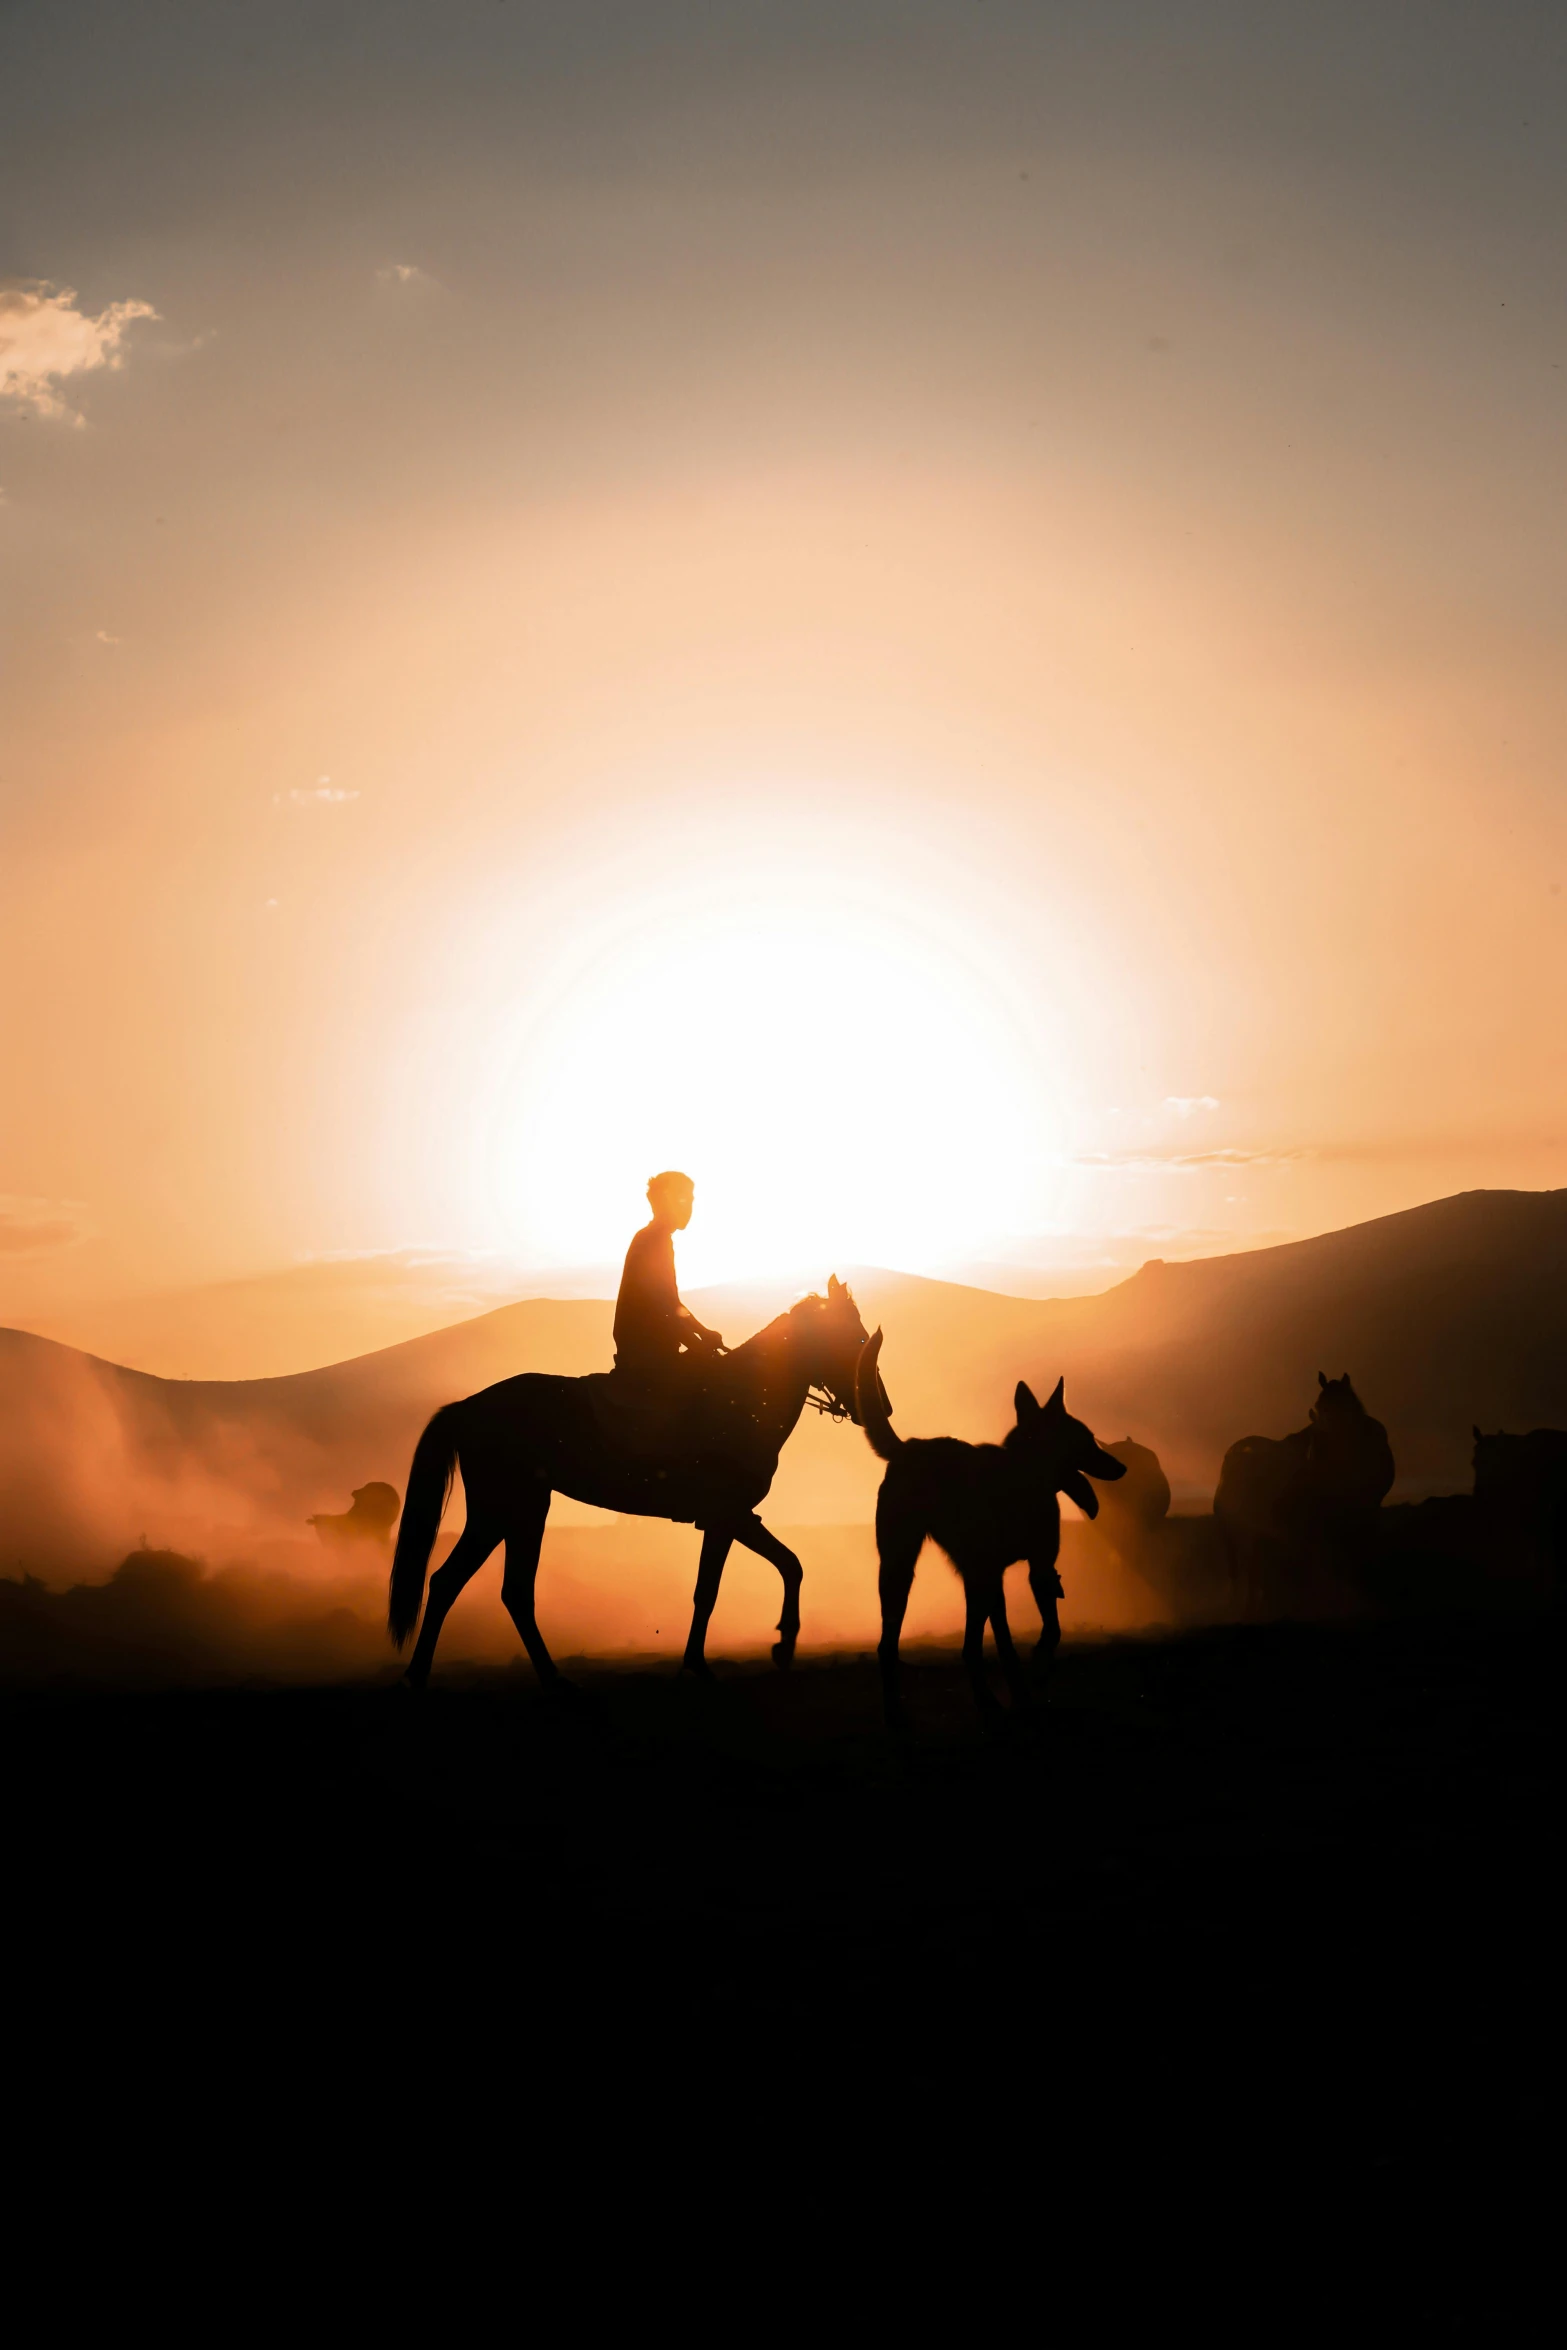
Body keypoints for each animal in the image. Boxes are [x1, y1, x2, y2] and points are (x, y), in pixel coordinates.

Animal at [389, 1287, 883, 1691]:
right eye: (858, 1340)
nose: (881, 1408)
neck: (743, 1398)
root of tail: (467, 1406)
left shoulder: (738, 1516)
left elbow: (787, 1565)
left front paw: (778, 1645)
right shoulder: (726, 1516)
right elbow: (712, 1590)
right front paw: (708, 1663)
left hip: (518, 1510)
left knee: (493, 1588)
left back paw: (532, 1676)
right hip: (505, 1509)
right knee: (468, 1583)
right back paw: (434, 1675)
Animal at [850, 1344, 1122, 1729]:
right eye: (1084, 1442)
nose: (1121, 1468)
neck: (1022, 1479)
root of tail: (910, 1447)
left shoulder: (1037, 1571)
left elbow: (1048, 1630)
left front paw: (1033, 1677)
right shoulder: (993, 1576)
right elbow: (1002, 1645)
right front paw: (1029, 1680)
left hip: (968, 1581)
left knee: (965, 1646)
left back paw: (985, 1700)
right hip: (902, 1571)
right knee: (894, 1647)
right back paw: (902, 1712)